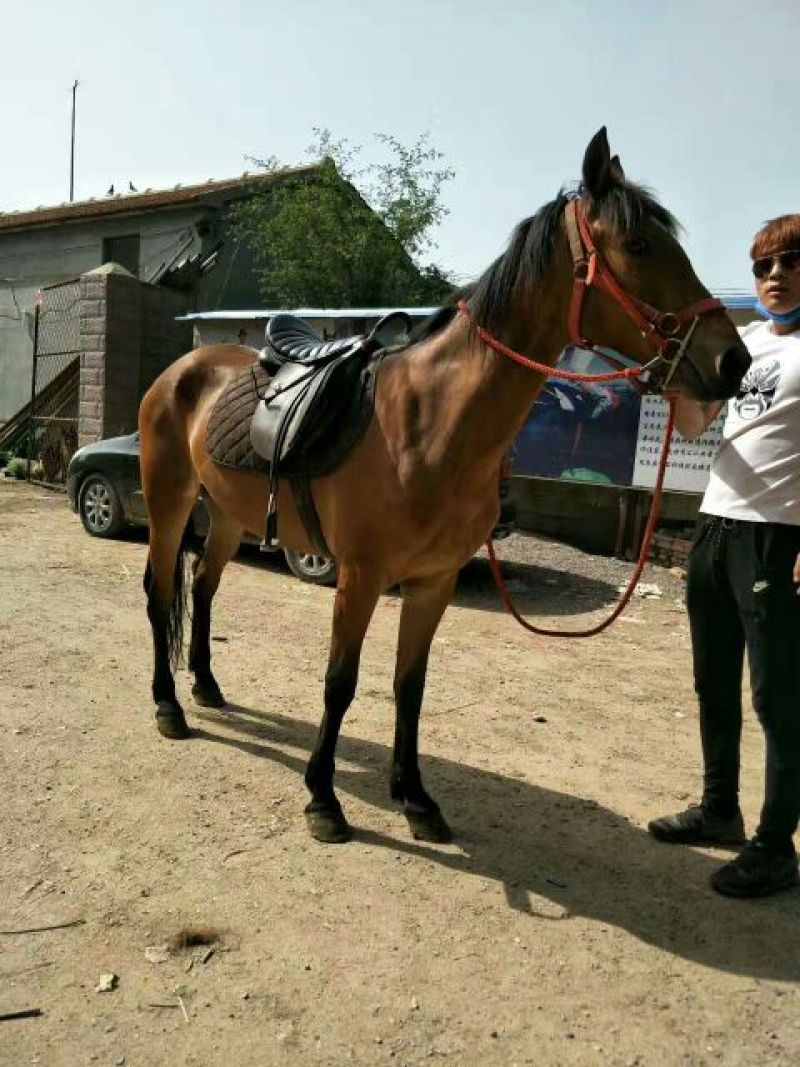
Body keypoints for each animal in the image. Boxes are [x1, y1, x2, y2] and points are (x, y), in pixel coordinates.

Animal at [138, 128, 750, 845]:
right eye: (639, 245)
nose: (732, 359)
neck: (431, 424)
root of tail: (183, 367)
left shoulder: (433, 582)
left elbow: (411, 685)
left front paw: (416, 797)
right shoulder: (360, 577)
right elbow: (340, 683)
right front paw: (323, 799)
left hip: (230, 515)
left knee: (204, 585)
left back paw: (206, 686)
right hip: (170, 504)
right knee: (160, 592)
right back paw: (169, 705)